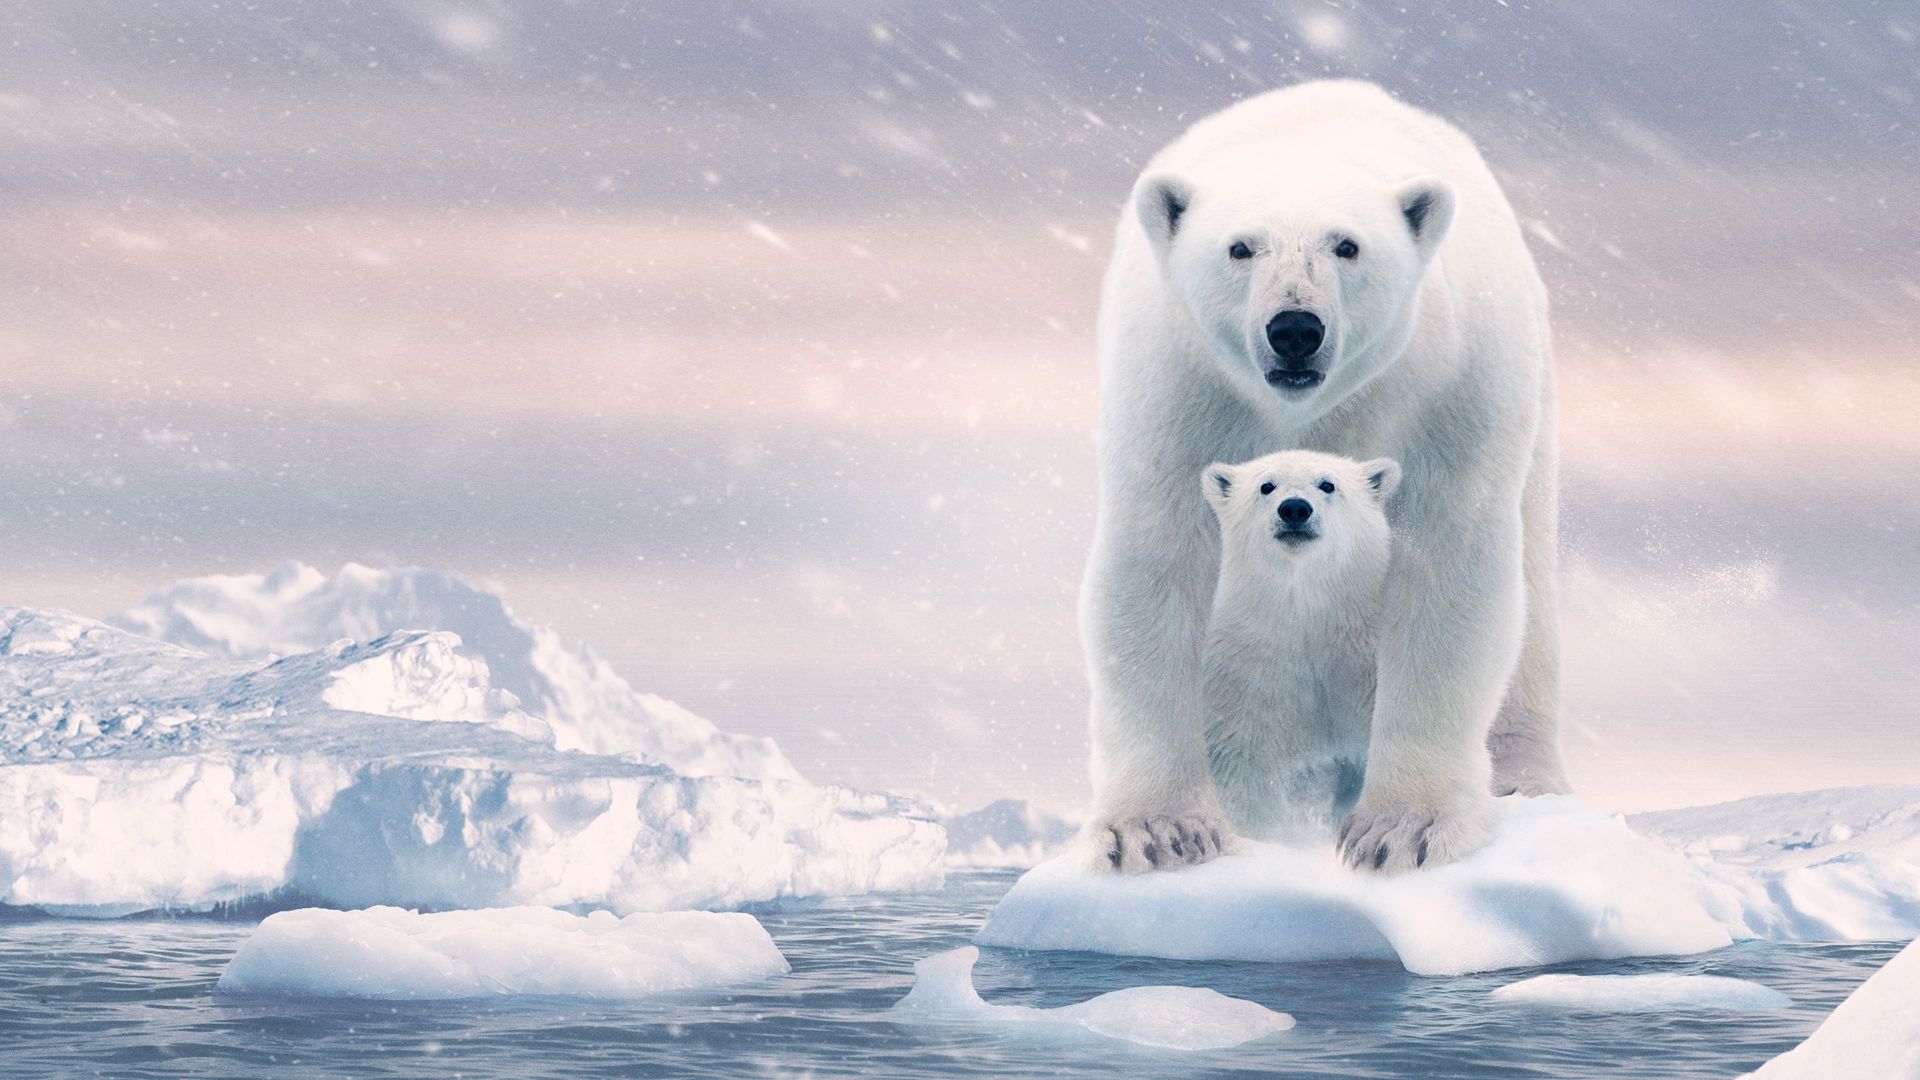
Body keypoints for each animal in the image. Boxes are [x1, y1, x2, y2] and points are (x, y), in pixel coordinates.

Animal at [1200, 450, 1399, 843]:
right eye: (1266, 485)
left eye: (1327, 484)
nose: (1294, 508)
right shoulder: (1248, 674)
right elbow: (1246, 769)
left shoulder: (1366, 666)